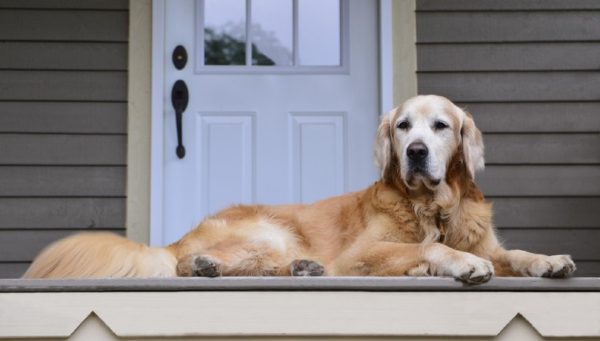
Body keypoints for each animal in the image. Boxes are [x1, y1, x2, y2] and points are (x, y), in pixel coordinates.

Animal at [24, 95, 576, 282]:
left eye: (441, 126)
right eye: (403, 126)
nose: (417, 152)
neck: (433, 208)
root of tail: (177, 238)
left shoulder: (488, 241)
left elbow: (517, 253)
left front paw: (549, 260)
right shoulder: (362, 254)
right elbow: (428, 249)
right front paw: (458, 263)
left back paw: (303, 268)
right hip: (269, 230)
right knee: (188, 264)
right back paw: (204, 264)